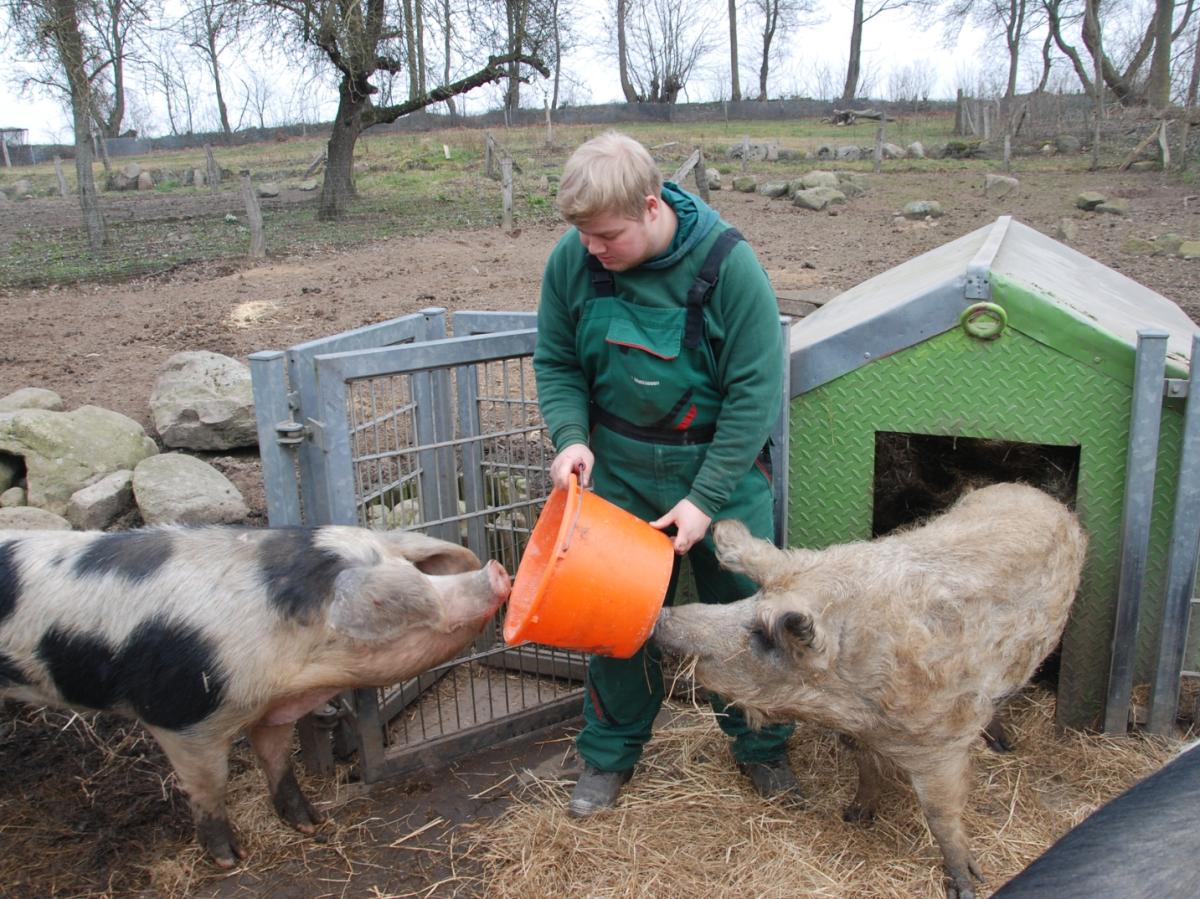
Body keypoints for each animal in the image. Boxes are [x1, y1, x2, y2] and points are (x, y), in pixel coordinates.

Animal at [0, 523, 508, 864]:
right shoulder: (180, 718)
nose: (498, 570)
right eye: (393, 603)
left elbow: (278, 761)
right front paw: (229, 859)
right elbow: (211, 784)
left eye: (409, 568)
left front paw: (311, 822)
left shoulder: (271, 709)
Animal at [652, 487, 1094, 897]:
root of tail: (1036, 493)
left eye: (762, 634)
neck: (849, 700)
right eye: (750, 599)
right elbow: (865, 764)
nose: (662, 615)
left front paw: (966, 885)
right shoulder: (857, 731)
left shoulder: (940, 742)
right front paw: (855, 816)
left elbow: (941, 814)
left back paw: (1003, 745)